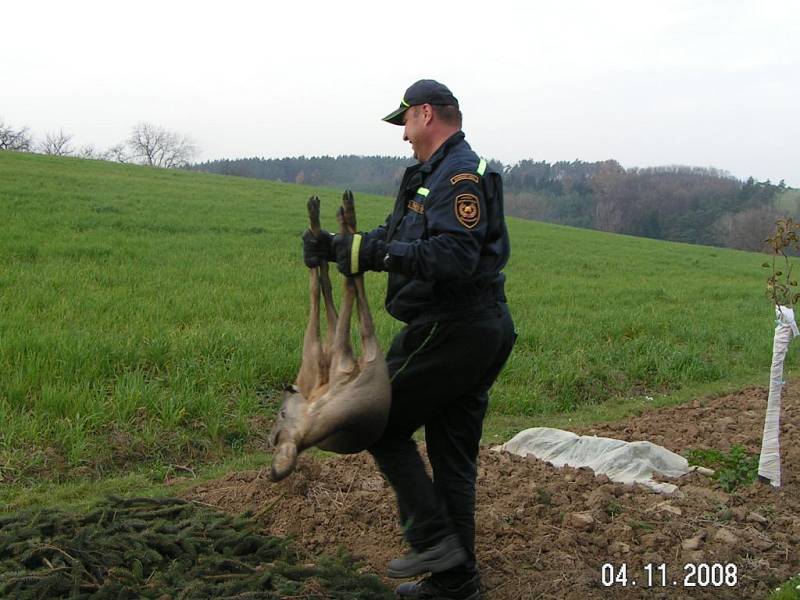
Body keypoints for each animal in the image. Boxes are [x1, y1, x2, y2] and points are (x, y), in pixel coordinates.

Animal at [268, 192, 390, 482]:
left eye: (281, 413)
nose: (289, 388)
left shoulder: (320, 356)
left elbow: (322, 296)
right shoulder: (334, 358)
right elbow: (342, 296)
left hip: (327, 352)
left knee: (333, 288)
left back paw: (332, 228)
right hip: (341, 349)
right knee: (345, 293)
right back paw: (339, 225)